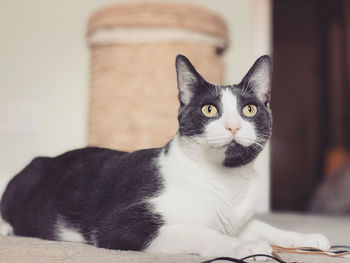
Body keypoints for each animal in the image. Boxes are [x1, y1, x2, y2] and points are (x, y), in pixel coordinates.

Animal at [0, 54, 330, 258]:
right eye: (209, 109)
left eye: (249, 109)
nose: (233, 125)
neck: (226, 182)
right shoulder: (119, 225)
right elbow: (199, 231)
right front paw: (247, 247)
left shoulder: (239, 218)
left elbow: (266, 227)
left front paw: (309, 239)